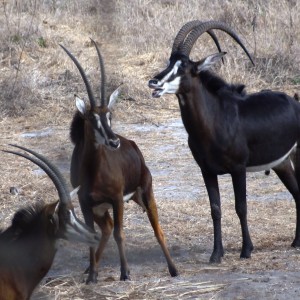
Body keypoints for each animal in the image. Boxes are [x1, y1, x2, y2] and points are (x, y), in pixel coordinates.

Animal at [60, 40, 178, 284]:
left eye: (109, 115)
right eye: (92, 118)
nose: (114, 142)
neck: (93, 171)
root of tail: (133, 145)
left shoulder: (116, 199)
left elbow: (120, 234)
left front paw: (125, 272)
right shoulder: (86, 203)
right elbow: (95, 234)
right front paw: (92, 275)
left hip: (145, 194)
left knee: (156, 230)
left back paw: (173, 269)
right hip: (101, 209)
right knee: (106, 228)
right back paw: (91, 267)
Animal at [148, 20, 300, 264]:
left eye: (185, 68)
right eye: (169, 62)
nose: (154, 83)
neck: (215, 119)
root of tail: (295, 101)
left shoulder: (238, 169)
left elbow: (241, 207)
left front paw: (246, 250)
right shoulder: (207, 171)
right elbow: (215, 209)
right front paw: (216, 254)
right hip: (282, 164)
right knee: (296, 193)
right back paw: (296, 241)